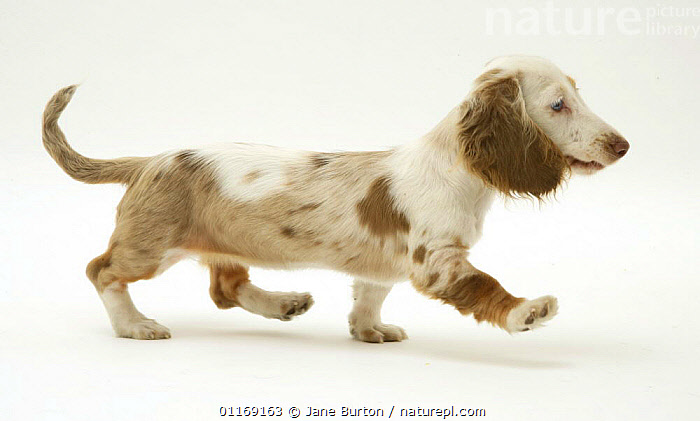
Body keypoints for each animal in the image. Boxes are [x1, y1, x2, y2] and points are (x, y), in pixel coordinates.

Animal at [43, 55, 628, 342]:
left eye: (578, 95)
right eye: (558, 105)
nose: (622, 145)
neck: (456, 167)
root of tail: (150, 160)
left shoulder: (382, 266)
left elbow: (369, 298)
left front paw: (369, 332)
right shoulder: (437, 262)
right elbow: (485, 287)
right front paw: (526, 312)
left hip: (221, 243)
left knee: (225, 288)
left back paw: (283, 303)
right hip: (152, 245)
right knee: (102, 270)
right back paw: (133, 325)